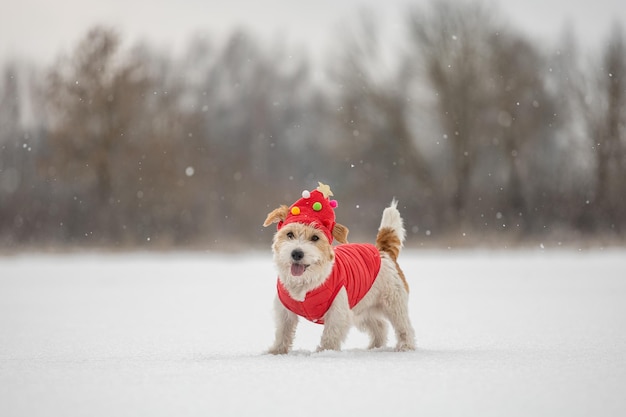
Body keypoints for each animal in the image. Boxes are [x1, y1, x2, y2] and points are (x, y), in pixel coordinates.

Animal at [262, 181, 414, 352]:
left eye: (315, 238)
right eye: (289, 234)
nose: (297, 253)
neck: (306, 282)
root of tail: (382, 251)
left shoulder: (338, 311)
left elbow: (330, 335)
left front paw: (325, 352)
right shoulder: (285, 312)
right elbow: (283, 332)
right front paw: (276, 352)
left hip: (394, 303)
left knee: (404, 327)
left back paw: (405, 346)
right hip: (361, 309)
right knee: (380, 325)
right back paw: (374, 347)